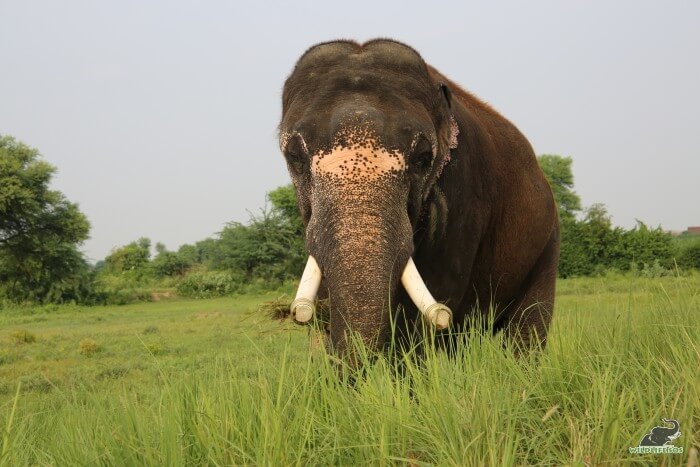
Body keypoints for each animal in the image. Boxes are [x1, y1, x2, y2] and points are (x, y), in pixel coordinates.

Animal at [278, 39, 556, 362]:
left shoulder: (465, 197)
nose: (299, 314)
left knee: (525, 331)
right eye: (294, 158)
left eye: (423, 159)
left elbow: (423, 310)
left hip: (547, 244)